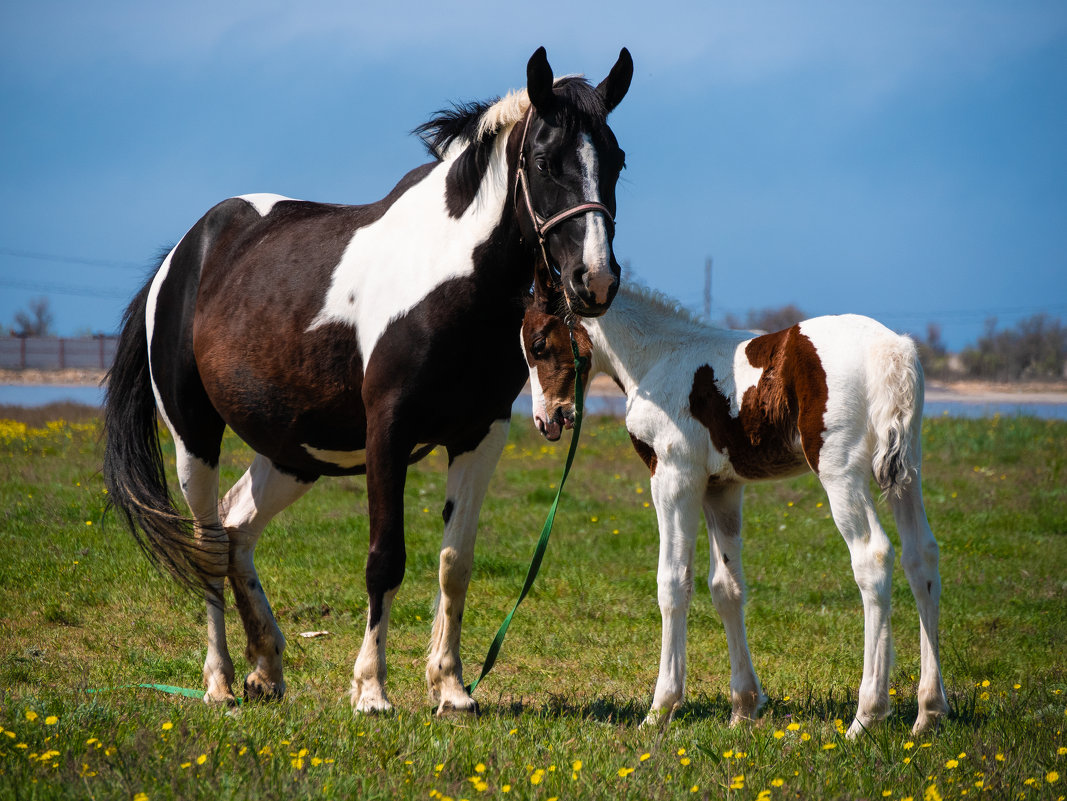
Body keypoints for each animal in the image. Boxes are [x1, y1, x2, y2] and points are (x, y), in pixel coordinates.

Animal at [101, 46, 631, 716]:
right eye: (543, 161)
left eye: (616, 160)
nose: (596, 280)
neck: (448, 278)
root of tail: (184, 253)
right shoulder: (389, 432)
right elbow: (385, 560)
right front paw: (371, 690)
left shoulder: (480, 436)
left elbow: (455, 562)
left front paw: (451, 688)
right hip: (194, 437)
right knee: (209, 544)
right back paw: (219, 682)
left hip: (294, 454)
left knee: (236, 527)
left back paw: (266, 668)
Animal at [520, 285, 947, 738]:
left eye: (539, 344)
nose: (546, 420)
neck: (658, 357)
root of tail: (892, 350)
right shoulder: (721, 488)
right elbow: (726, 587)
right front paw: (742, 708)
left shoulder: (674, 477)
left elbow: (673, 583)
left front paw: (659, 710)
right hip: (907, 472)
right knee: (921, 557)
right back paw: (928, 713)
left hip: (840, 472)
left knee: (873, 557)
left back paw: (866, 716)